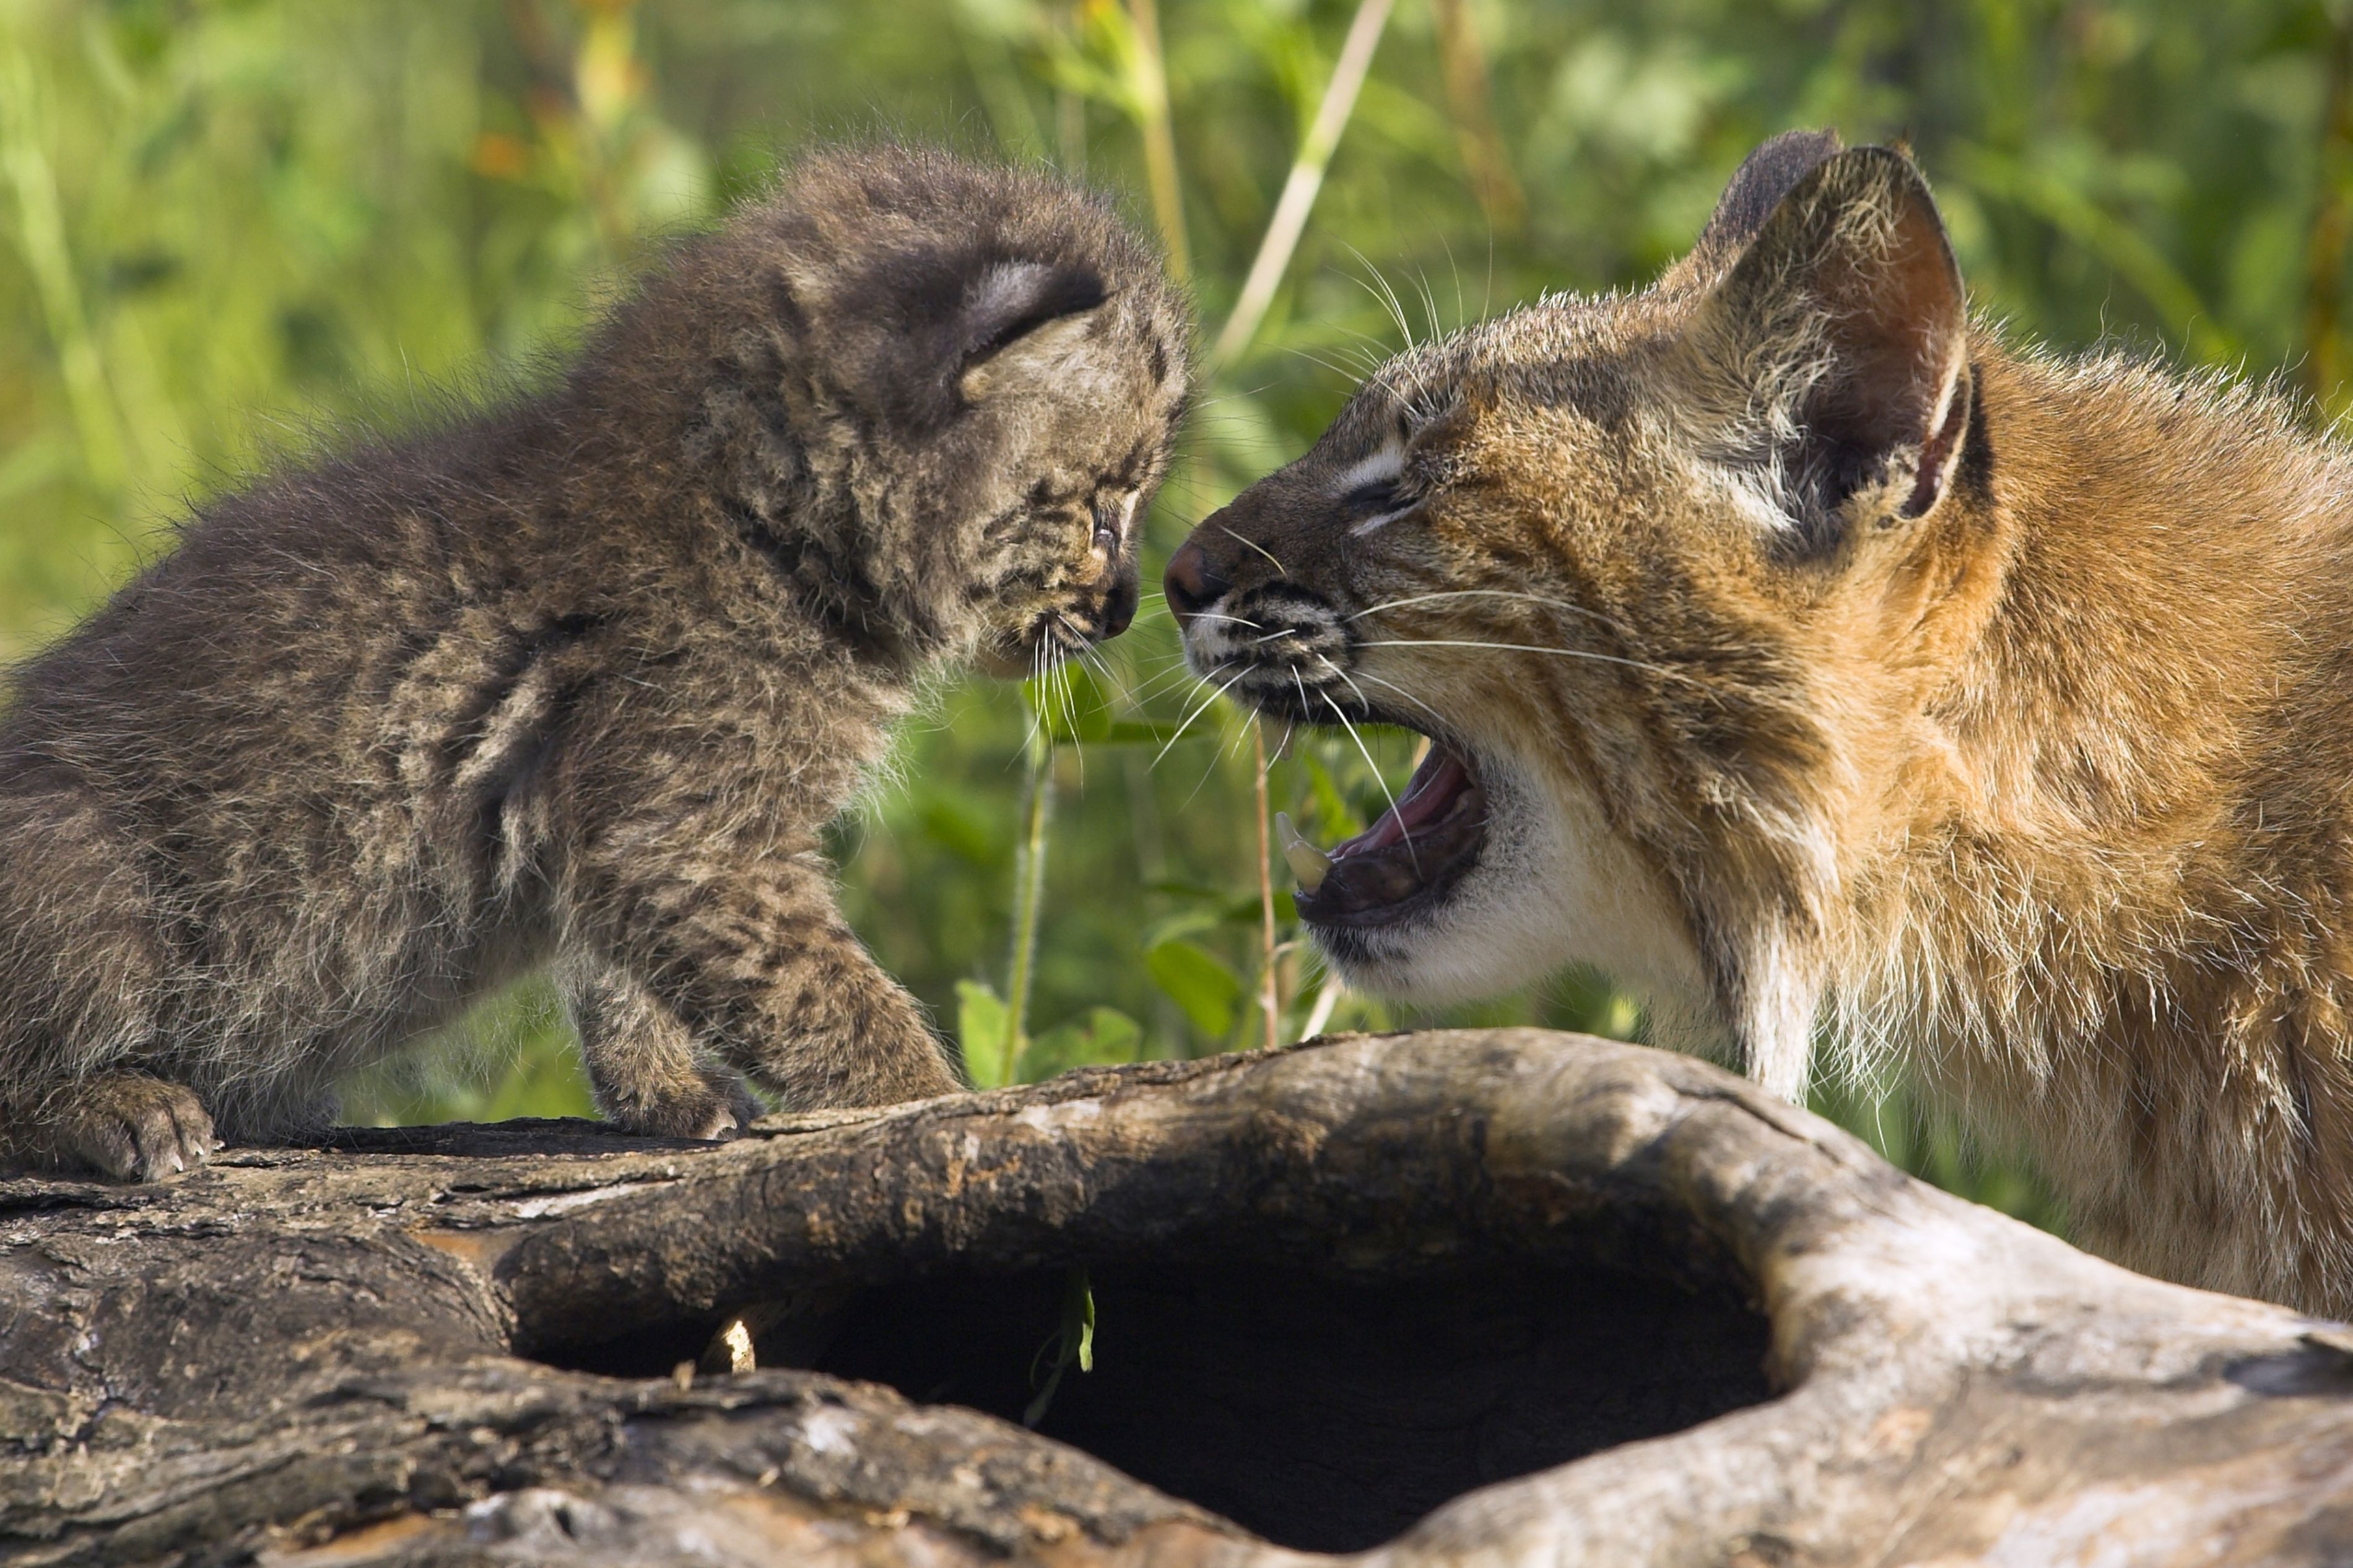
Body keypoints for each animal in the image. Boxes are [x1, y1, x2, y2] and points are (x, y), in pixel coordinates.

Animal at [0, 147, 1186, 1184]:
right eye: (1101, 508)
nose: (1131, 607)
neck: (762, 527)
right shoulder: (688, 841)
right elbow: (835, 1005)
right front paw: (944, 1110)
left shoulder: (621, 826)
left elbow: (620, 973)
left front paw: (665, 1090)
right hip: (89, 874)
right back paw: (119, 1104)